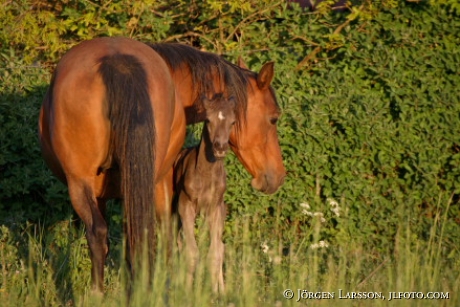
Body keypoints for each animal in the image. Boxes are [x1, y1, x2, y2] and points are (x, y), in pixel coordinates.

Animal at [173, 94, 235, 294]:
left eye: (233, 122)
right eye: (208, 120)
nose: (220, 147)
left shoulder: (214, 208)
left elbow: (214, 253)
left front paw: (214, 293)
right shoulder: (185, 205)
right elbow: (191, 252)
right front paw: (186, 292)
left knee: (220, 247)